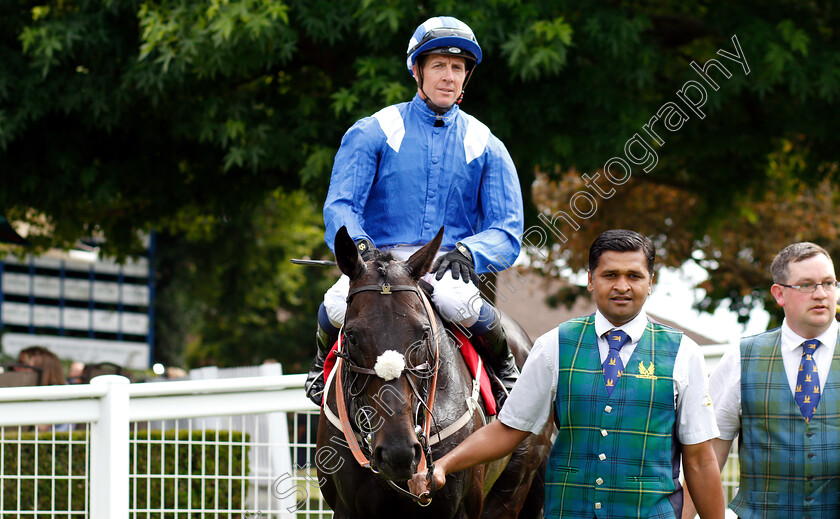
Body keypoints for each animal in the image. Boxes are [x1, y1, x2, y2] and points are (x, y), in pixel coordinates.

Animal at [314, 229, 552, 519]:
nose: (398, 452)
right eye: (352, 336)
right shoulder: (348, 508)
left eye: (424, 333)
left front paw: (458, 257)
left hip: (512, 486)